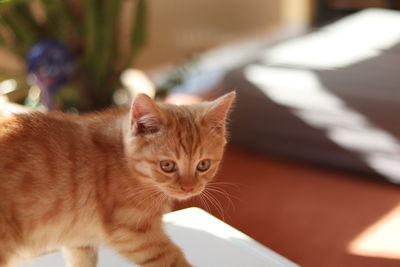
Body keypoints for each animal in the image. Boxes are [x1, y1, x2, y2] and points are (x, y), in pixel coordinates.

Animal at [0, 92, 234, 267]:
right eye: (167, 166)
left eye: (203, 165)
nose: (188, 188)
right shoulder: (133, 234)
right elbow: (172, 259)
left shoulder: (80, 238)